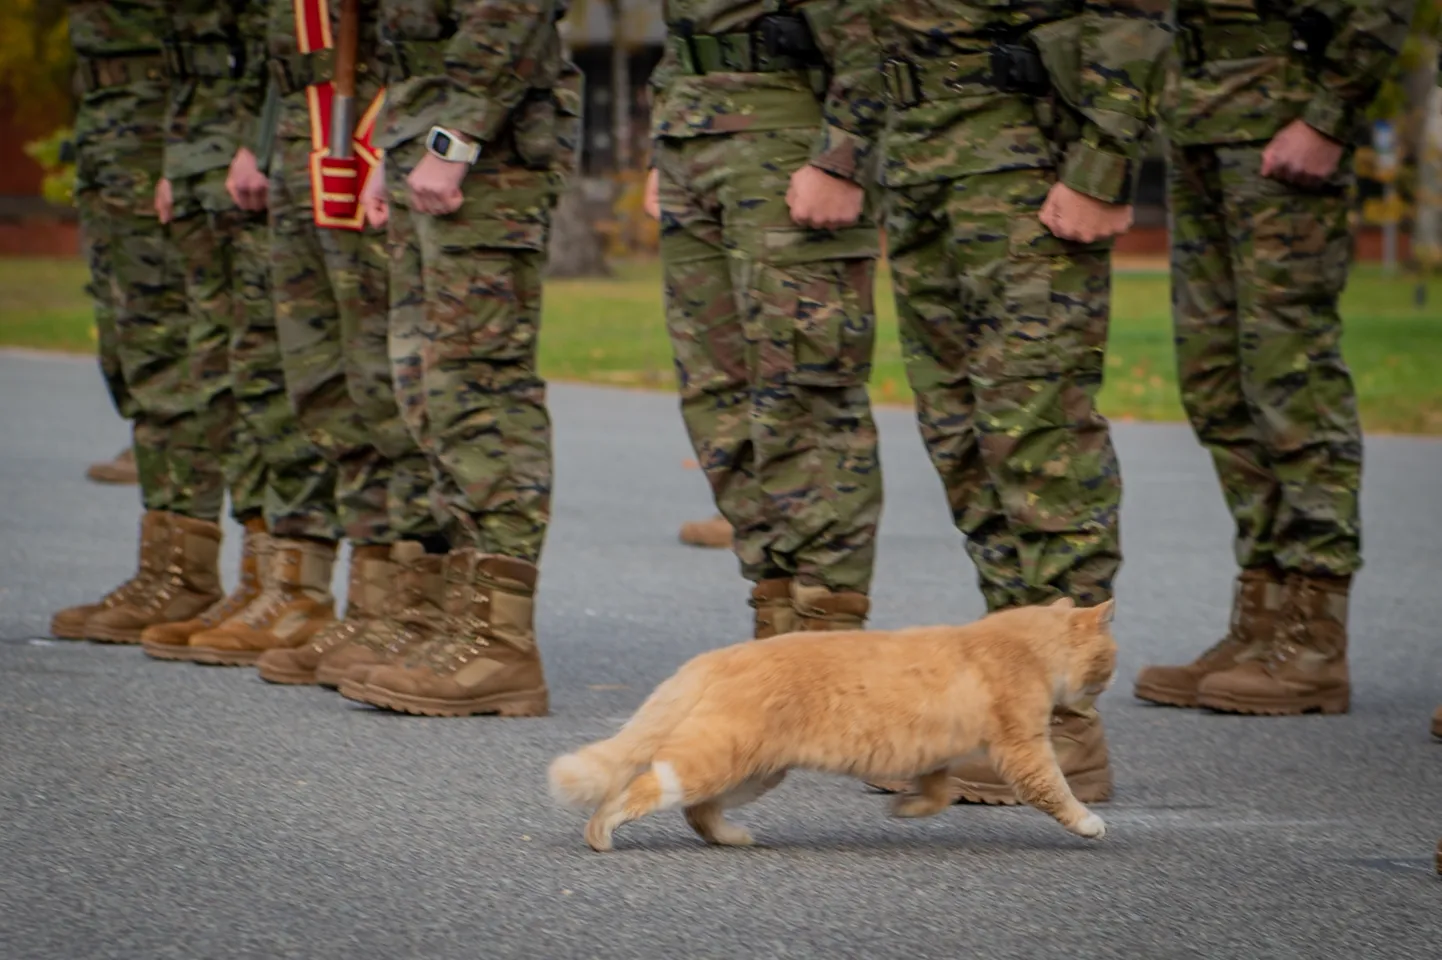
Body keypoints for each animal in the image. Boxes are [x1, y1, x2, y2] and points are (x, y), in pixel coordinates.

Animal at [547, 593, 1113, 847]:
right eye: (1111, 655)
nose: (1103, 687)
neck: (1023, 645)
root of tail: (718, 657)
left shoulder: (934, 754)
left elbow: (937, 794)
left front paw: (906, 809)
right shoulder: (1023, 748)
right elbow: (1054, 789)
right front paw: (1088, 822)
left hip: (754, 772)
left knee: (697, 810)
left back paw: (730, 837)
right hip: (719, 758)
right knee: (645, 787)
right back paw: (602, 831)